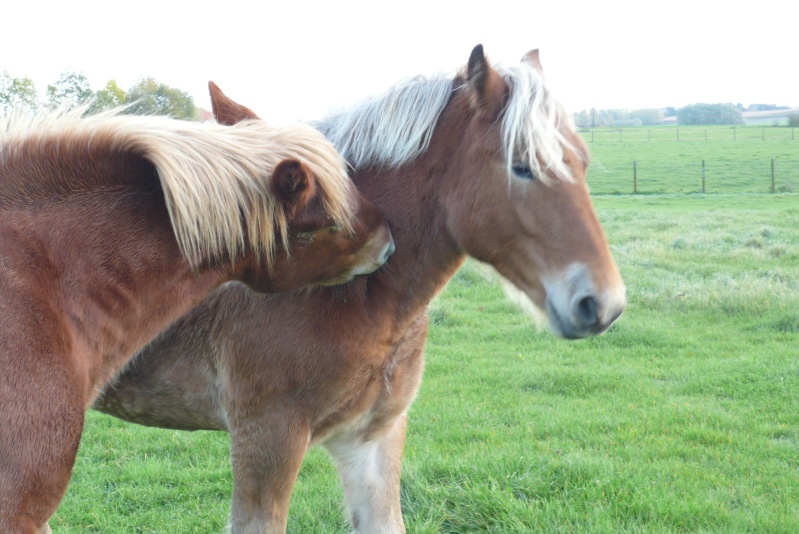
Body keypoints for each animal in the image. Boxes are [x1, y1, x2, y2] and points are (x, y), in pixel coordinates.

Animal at [97, 47, 628, 534]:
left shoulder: (372, 441)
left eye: (583, 162)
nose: (602, 304)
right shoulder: (266, 440)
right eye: (522, 167)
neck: (359, 298)